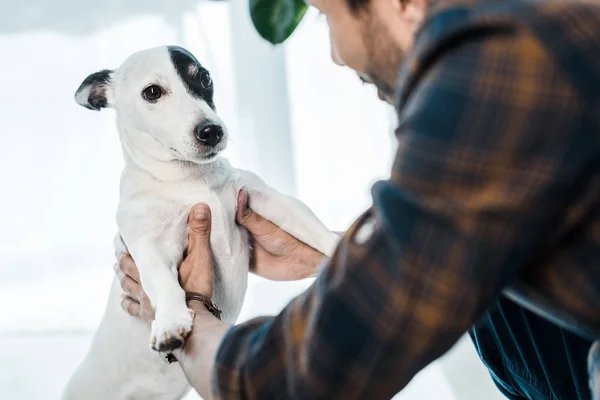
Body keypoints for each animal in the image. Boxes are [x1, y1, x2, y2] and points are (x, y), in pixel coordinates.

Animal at [63, 45, 342, 398]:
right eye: (152, 92)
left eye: (205, 78)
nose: (211, 130)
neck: (189, 179)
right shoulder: (149, 247)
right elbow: (164, 282)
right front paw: (170, 321)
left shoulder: (265, 200)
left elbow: (312, 227)